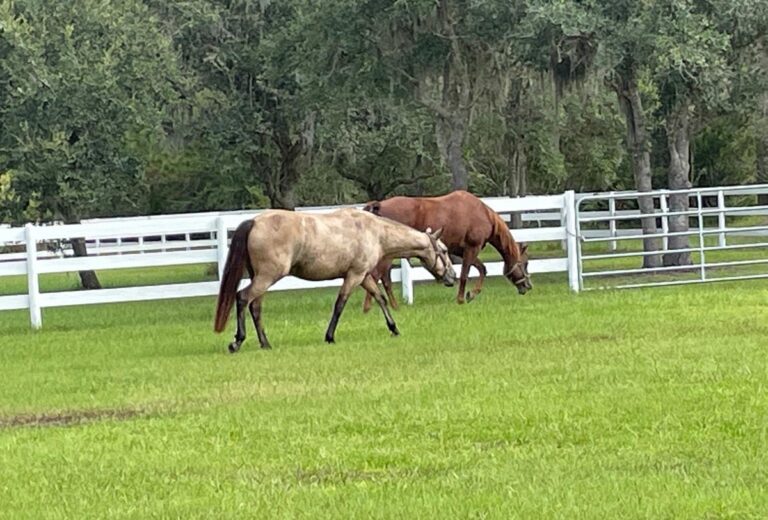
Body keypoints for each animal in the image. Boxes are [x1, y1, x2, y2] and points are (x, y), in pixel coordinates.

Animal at [214, 208, 456, 353]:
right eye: (444, 251)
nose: (452, 277)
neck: (375, 232)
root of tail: (254, 221)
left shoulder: (364, 276)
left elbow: (380, 298)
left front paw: (394, 328)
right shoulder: (354, 276)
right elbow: (340, 304)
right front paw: (329, 336)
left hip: (261, 279)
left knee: (255, 307)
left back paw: (265, 343)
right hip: (267, 277)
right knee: (242, 298)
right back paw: (237, 341)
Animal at [363, 190, 531, 308]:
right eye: (525, 263)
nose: (528, 286)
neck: (483, 214)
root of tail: (379, 206)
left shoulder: (461, 251)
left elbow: (482, 269)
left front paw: (471, 294)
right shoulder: (472, 248)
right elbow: (465, 274)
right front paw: (461, 299)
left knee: (381, 278)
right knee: (378, 276)